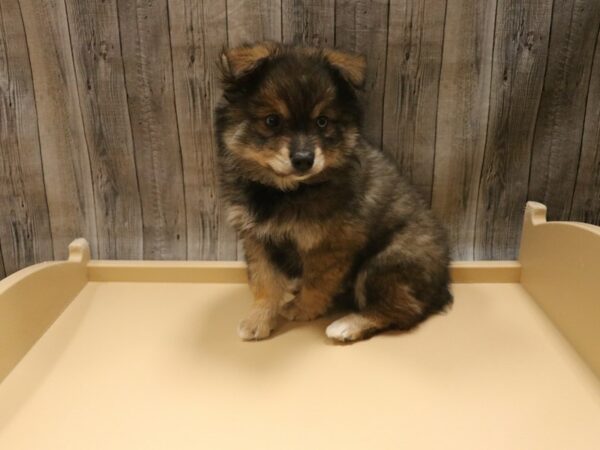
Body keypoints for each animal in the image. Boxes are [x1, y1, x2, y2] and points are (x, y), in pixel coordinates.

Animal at [213, 42, 452, 342]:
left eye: (322, 122)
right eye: (272, 121)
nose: (304, 159)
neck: (286, 191)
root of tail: (443, 285)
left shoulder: (330, 245)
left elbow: (316, 283)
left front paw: (302, 308)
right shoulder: (258, 239)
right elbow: (264, 281)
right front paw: (258, 319)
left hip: (386, 263)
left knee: (402, 310)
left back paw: (348, 325)